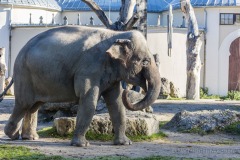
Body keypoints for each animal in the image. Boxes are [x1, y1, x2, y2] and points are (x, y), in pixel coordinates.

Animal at [3, 25, 159, 147]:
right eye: (145, 61)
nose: (128, 91)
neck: (116, 35)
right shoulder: (89, 68)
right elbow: (88, 99)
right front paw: (82, 145)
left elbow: (116, 103)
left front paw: (125, 143)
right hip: (24, 74)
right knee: (24, 103)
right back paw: (12, 135)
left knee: (34, 106)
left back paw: (30, 137)